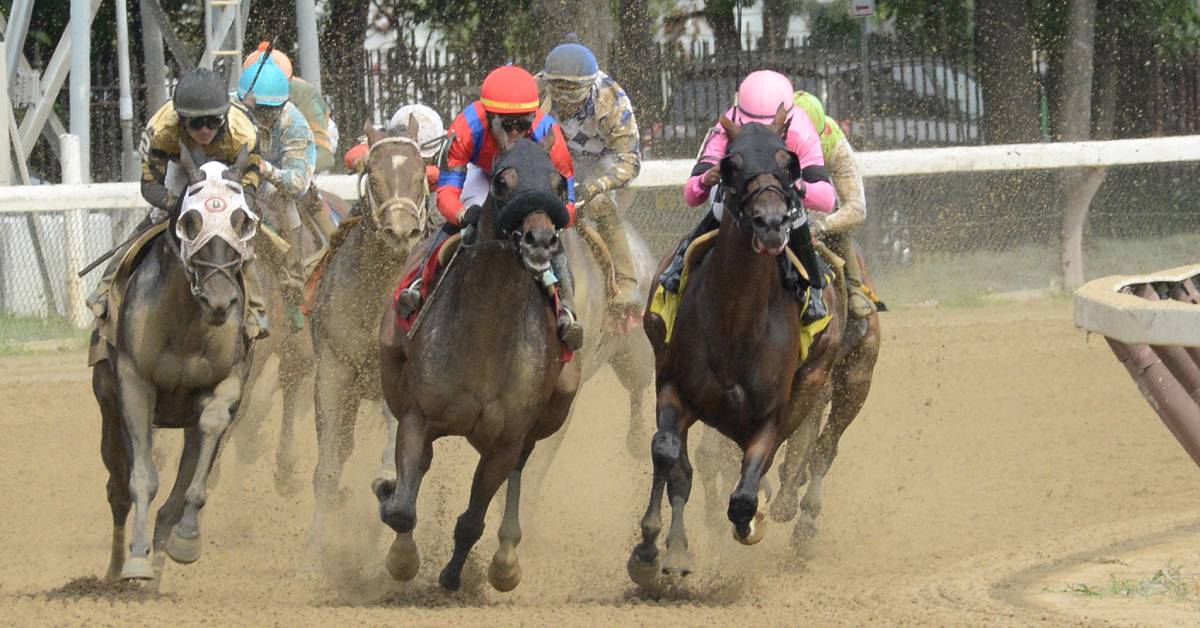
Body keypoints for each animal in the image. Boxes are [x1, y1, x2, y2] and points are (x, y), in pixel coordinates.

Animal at [94, 145, 259, 583]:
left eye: (243, 221)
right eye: (190, 221)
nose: (220, 300)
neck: (185, 323)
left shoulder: (229, 380)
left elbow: (209, 435)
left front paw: (185, 539)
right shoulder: (133, 381)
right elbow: (141, 479)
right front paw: (136, 560)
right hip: (107, 407)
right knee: (117, 488)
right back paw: (116, 570)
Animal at [374, 137, 580, 595]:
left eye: (559, 185)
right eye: (502, 182)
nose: (541, 240)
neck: (486, 334)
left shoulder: (506, 440)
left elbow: (472, 519)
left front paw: (453, 575)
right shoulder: (418, 415)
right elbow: (401, 508)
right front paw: (400, 552)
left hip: (552, 410)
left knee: (520, 468)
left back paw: (506, 559)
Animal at [633, 108, 849, 585]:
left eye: (789, 163)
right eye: (731, 163)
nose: (771, 223)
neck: (735, 324)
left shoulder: (772, 415)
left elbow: (745, 496)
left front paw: (754, 519)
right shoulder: (674, 388)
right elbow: (667, 455)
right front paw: (650, 550)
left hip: (814, 381)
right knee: (685, 469)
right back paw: (676, 550)